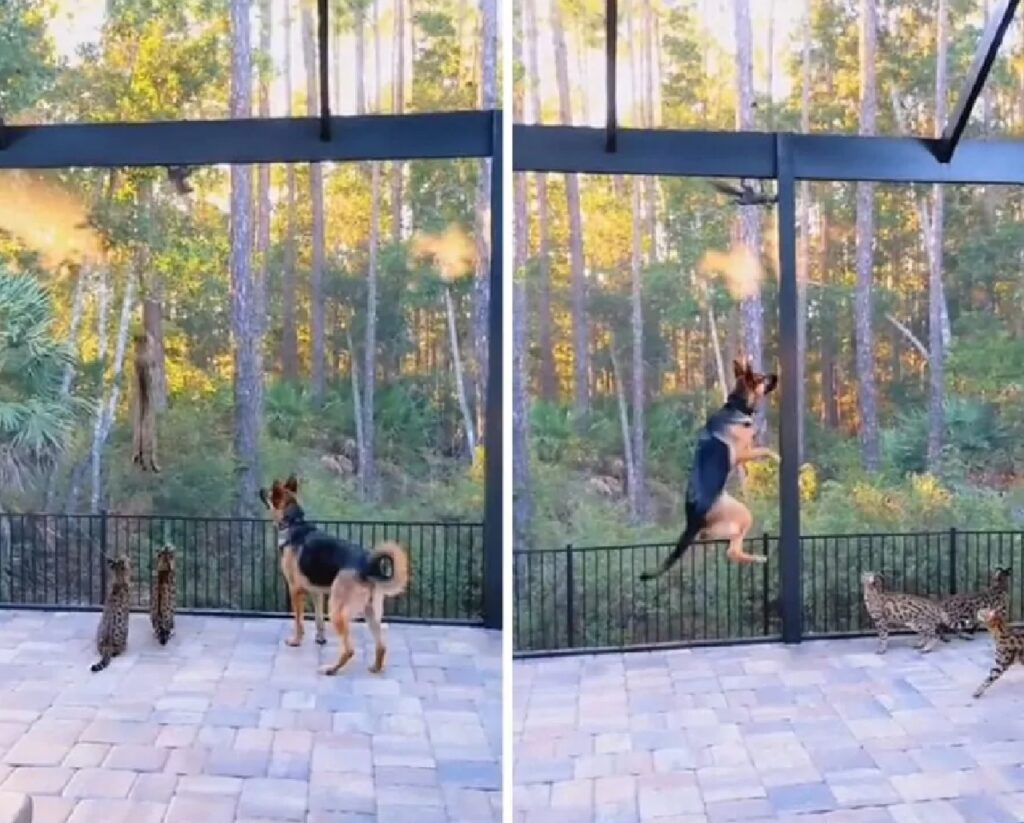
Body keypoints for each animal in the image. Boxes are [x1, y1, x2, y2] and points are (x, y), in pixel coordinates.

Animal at [258, 474, 409, 675]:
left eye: (268, 493)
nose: (260, 490)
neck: (294, 522)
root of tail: (367, 565)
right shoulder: (316, 592)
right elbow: (318, 620)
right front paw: (320, 639)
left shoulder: (295, 590)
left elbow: (298, 621)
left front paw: (296, 641)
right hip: (370, 612)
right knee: (381, 646)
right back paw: (375, 668)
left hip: (337, 610)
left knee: (349, 650)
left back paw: (331, 669)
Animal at [638, 356, 774, 581]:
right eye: (761, 378)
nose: (776, 375)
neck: (736, 406)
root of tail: (692, 520)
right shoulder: (741, 453)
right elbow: (763, 448)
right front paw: (774, 455)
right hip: (742, 514)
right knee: (731, 551)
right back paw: (757, 558)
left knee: (713, 541)